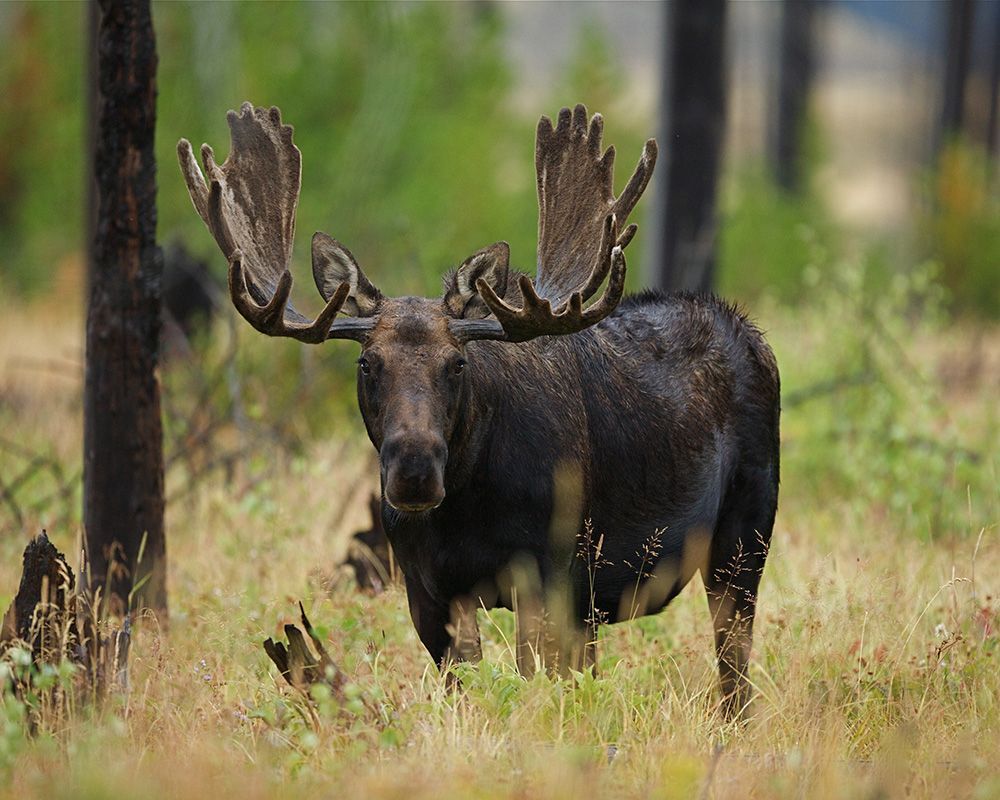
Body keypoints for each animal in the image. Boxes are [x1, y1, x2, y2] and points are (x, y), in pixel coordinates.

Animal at [178, 103, 780, 719]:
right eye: (367, 363)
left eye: (458, 363)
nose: (414, 471)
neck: (466, 507)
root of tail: (752, 333)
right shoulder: (430, 590)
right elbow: (464, 685)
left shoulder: (544, 572)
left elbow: (531, 680)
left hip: (744, 534)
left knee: (733, 663)